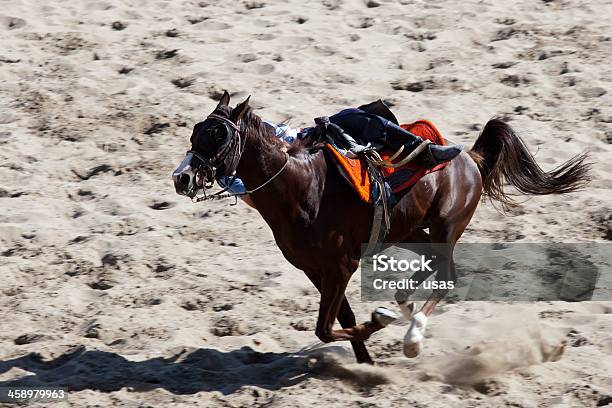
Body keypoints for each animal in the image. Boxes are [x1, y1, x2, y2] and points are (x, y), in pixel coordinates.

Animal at [171, 91, 588, 364]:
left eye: (220, 137)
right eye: (194, 133)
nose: (182, 177)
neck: (303, 186)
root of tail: (469, 157)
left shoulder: (341, 264)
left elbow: (326, 327)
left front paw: (381, 321)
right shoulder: (313, 269)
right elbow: (341, 319)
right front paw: (366, 361)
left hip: (445, 228)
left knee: (448, 276)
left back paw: (412, 335)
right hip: (410, 231)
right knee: (432, 268)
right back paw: (403, 303)